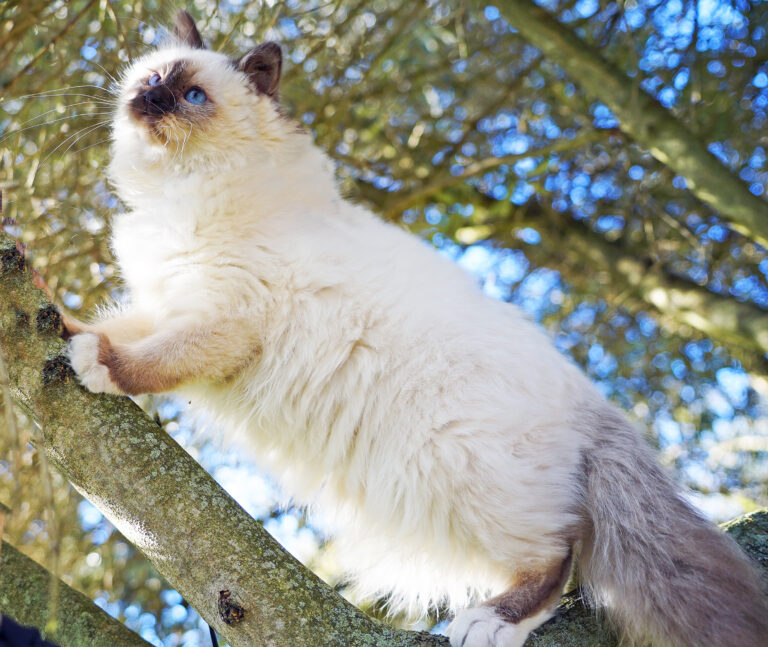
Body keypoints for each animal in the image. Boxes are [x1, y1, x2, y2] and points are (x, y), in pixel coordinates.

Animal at [67, 10, 768, 647]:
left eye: (192, 97)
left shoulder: (222, 321)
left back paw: (490, 623)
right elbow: (109, 324)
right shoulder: (165, 304)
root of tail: (592, 404)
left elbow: (151, 361)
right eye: (154, 77)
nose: (148, 99)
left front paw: (97, 366)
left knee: (557, 558)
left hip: (461, 473)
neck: (179, 198)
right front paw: (60, 321)